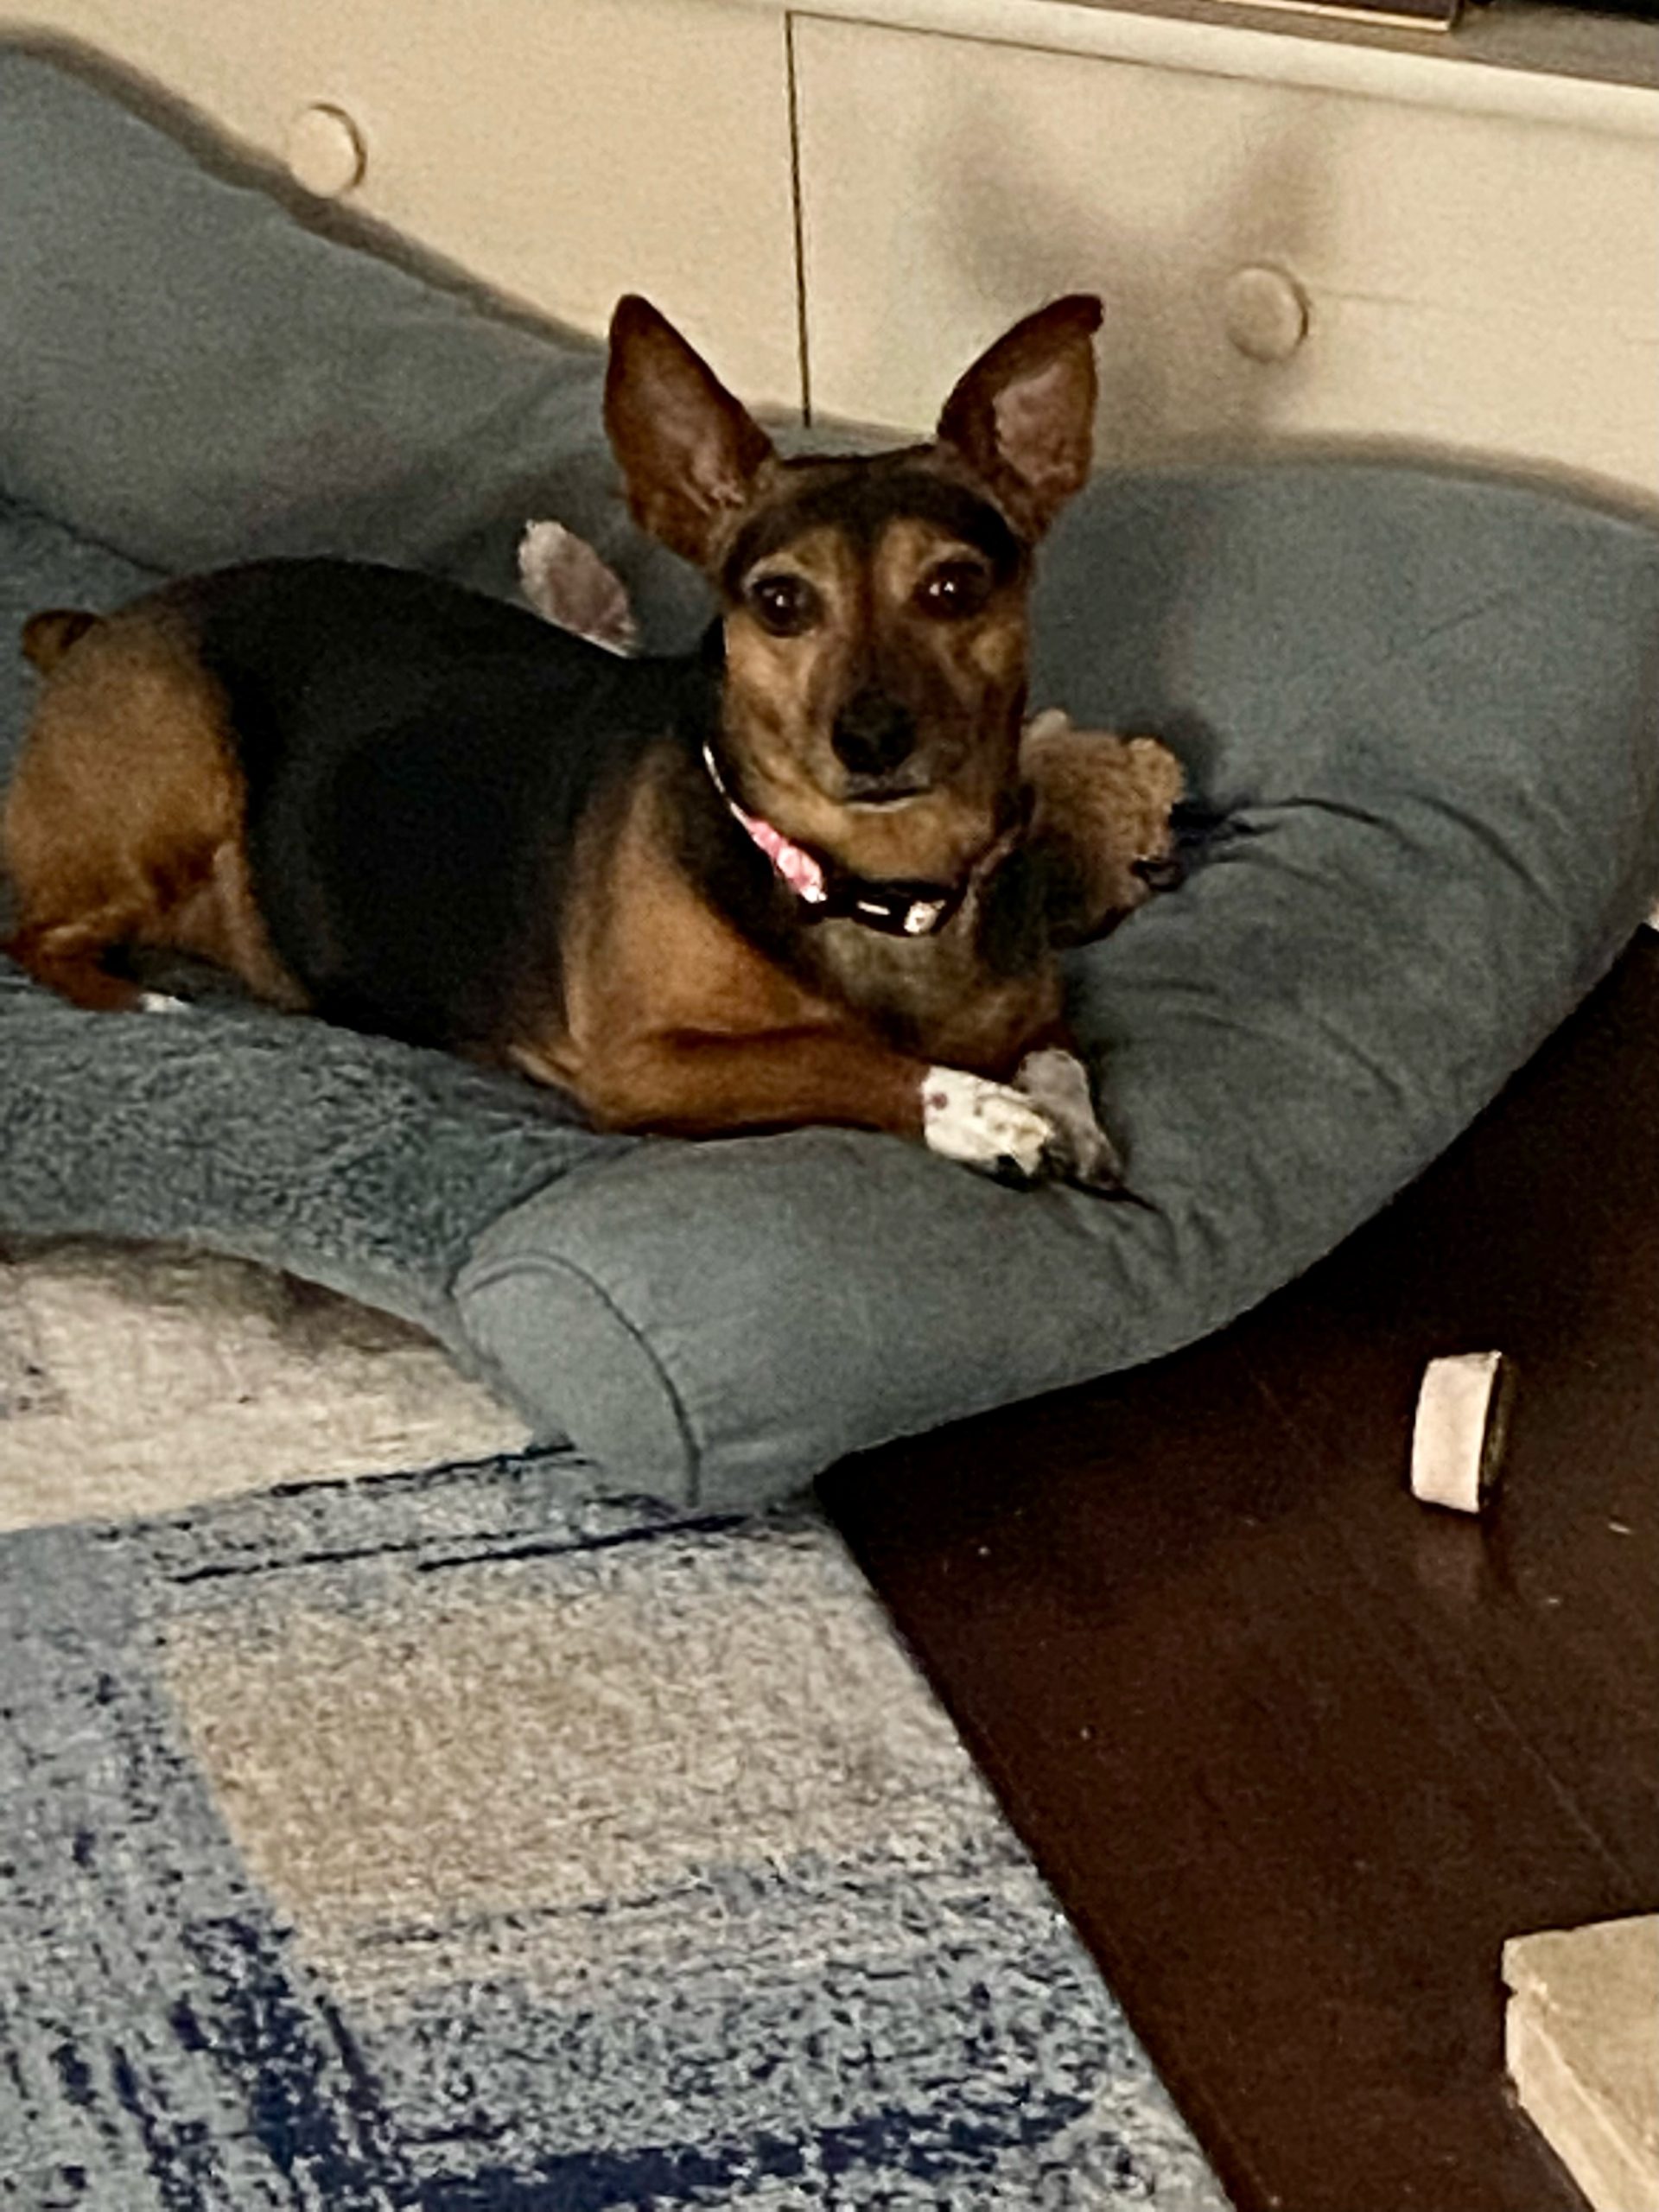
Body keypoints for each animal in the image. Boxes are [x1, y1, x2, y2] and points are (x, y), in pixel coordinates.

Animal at [3, 307, 1185, 1194]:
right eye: (780, 603)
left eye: (951, 587)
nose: (871, 738)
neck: (875, 888)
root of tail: (97, 631)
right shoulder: (644, 1066)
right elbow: (839, 1051)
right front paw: (978, 1111)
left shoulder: (1036, 1009)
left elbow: (1057, 1053)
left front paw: (1068, 1118)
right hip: (178, 776)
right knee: (34, 935)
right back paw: (144, 1000)